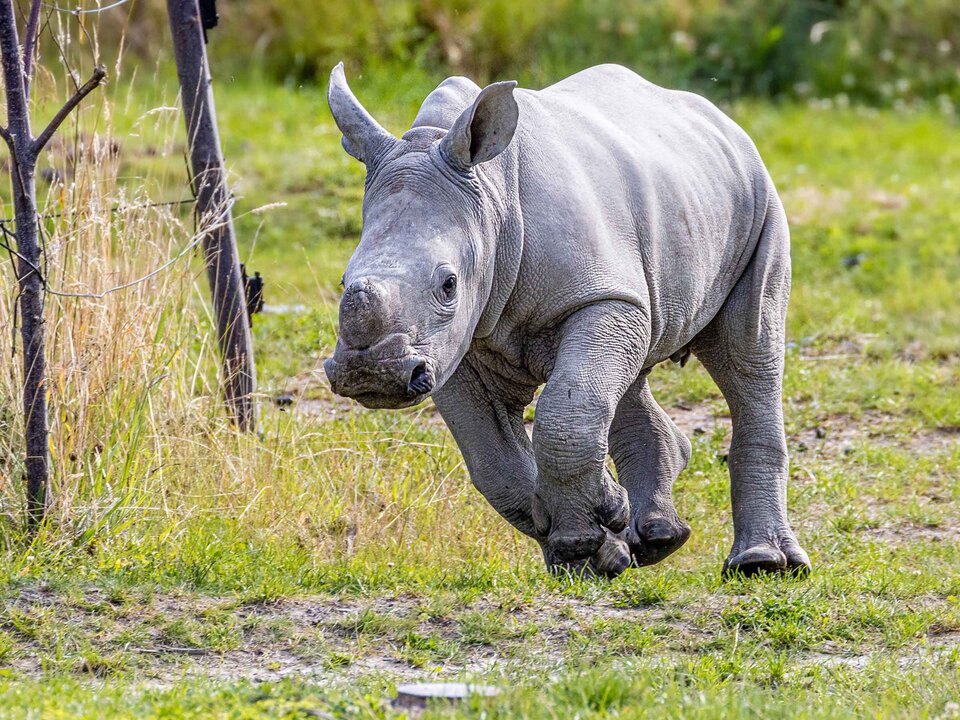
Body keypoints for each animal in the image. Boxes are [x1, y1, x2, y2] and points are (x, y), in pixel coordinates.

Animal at [324, 63, 808, 580]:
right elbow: (495, 460)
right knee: (630, 361)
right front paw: (593, 551)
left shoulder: (591, 294)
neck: (489, 198)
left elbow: (566, 413)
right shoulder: (453, 347)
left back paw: (763, 565)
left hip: (758, 202)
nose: (372, 374)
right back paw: (658, 540)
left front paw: (589, 531)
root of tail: (723, 120)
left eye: (449, 285)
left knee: (748, 355)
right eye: (342, 281)